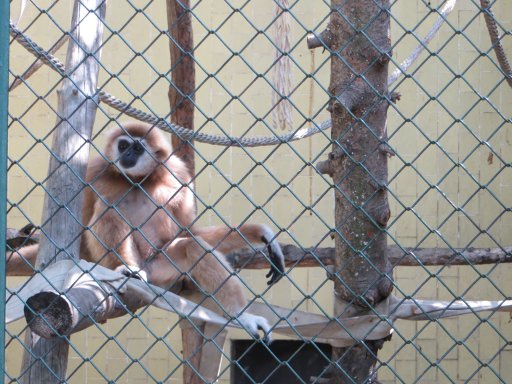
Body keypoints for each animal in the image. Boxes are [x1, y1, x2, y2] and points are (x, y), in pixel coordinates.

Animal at [8, 121, 286, 340]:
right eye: (123, 146)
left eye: (137, 148)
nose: (127, 154)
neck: (138, 180)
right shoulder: (94, 170)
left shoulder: (178, 173)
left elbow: (188, 231)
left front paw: (260, 234)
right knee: (109, 206)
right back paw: (124, 268)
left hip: (161, 267)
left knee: (192, 246)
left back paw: (243, 316)